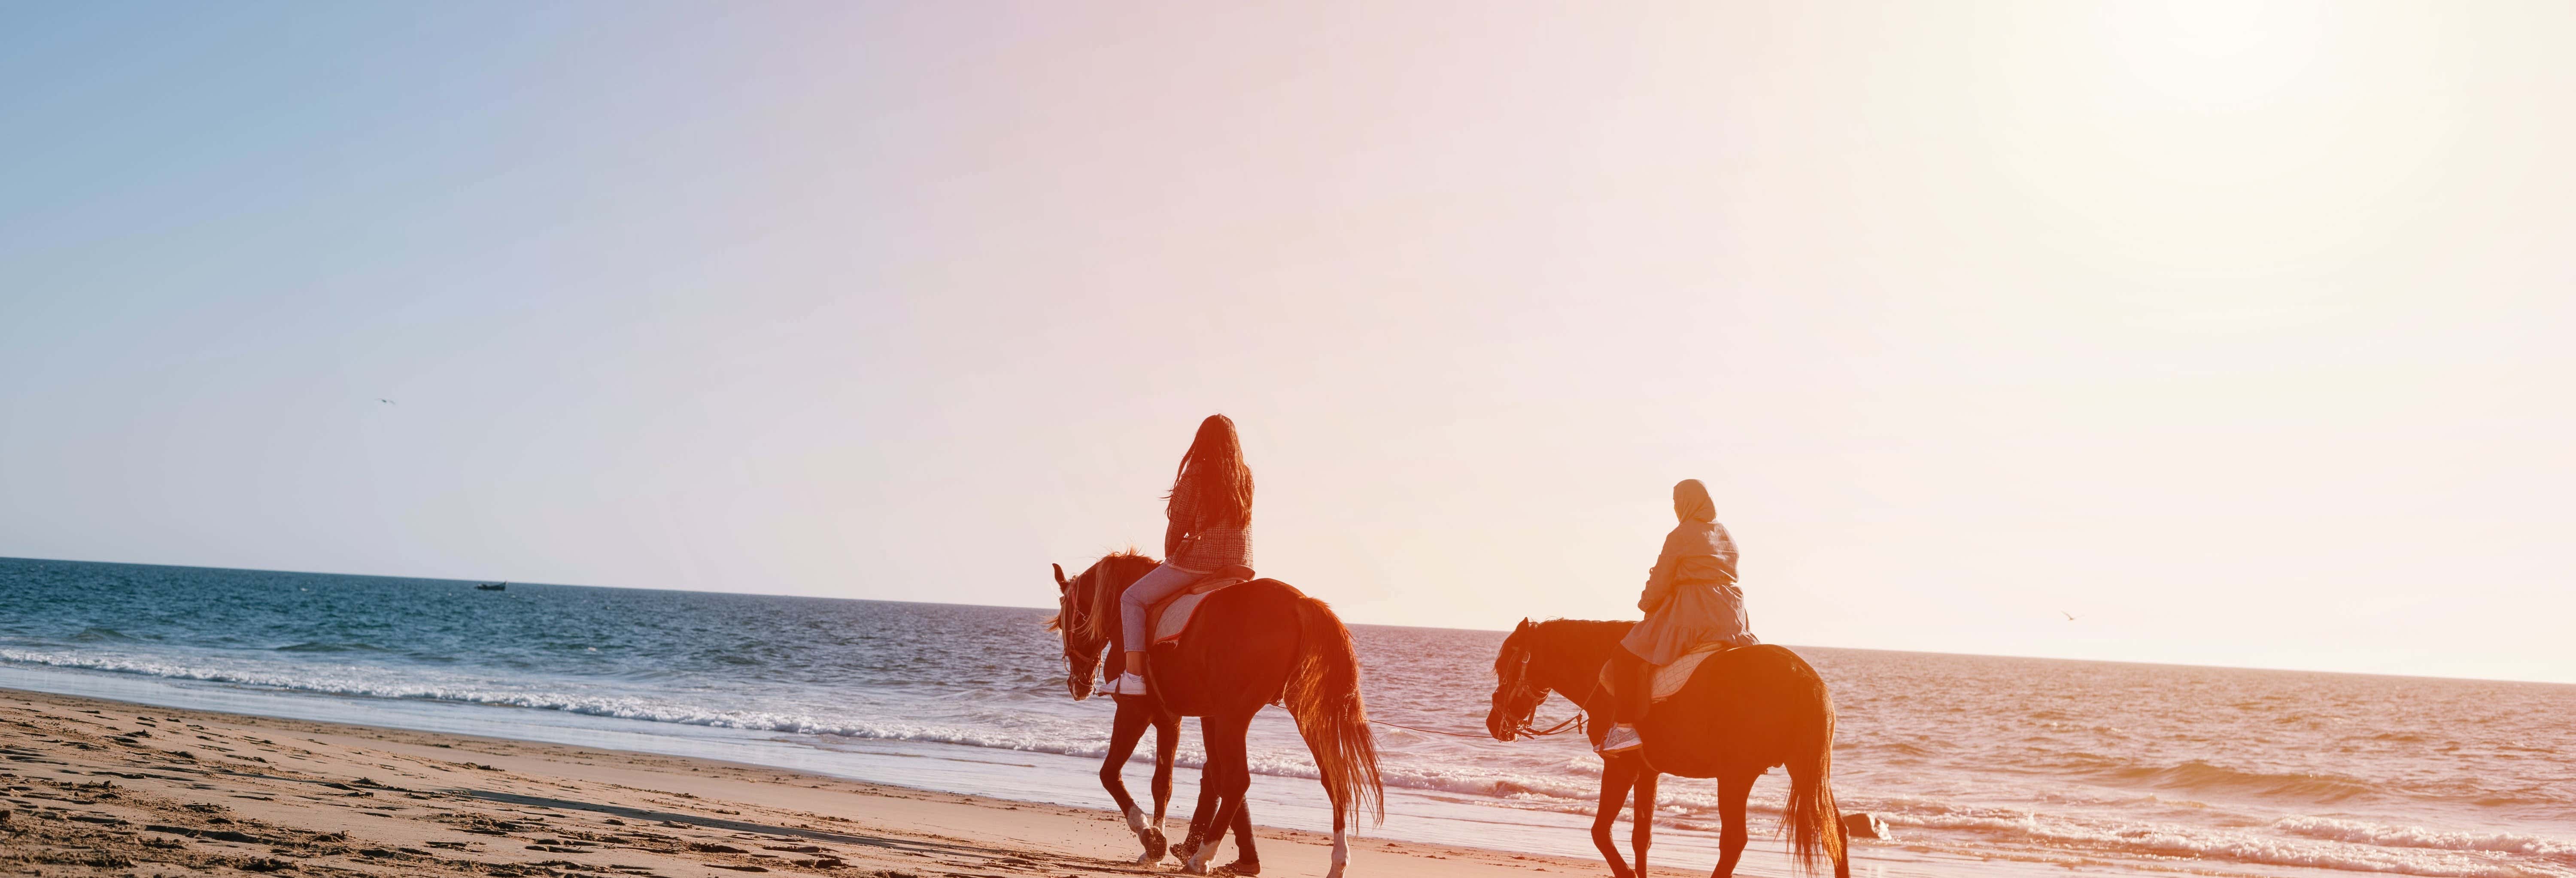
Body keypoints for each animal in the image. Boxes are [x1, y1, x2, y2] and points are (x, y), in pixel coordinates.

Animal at [1046, 551, 1381, 870]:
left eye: (1063, 623)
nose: (1077, 684)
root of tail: (1300, 602)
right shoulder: (1172, 719)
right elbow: (1163, 784)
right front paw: (1156, 846)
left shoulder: (1134, 711)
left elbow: (1110, 773)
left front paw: (1150, 838)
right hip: (1303, 716)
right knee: (1330, 777)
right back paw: (1335, 860)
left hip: (1234, 716)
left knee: (1237, 780)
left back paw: (1202, 856)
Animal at [1494, 615, 1855, 875]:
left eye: (1502, 667)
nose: (1492, 722)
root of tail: (1806, 677)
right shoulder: (1647, 771)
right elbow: (1641, 837)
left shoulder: (1620, 766)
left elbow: (1600, 832)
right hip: (1805, 770)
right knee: (1836, 831)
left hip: (1736, 776)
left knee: (1734, 841)